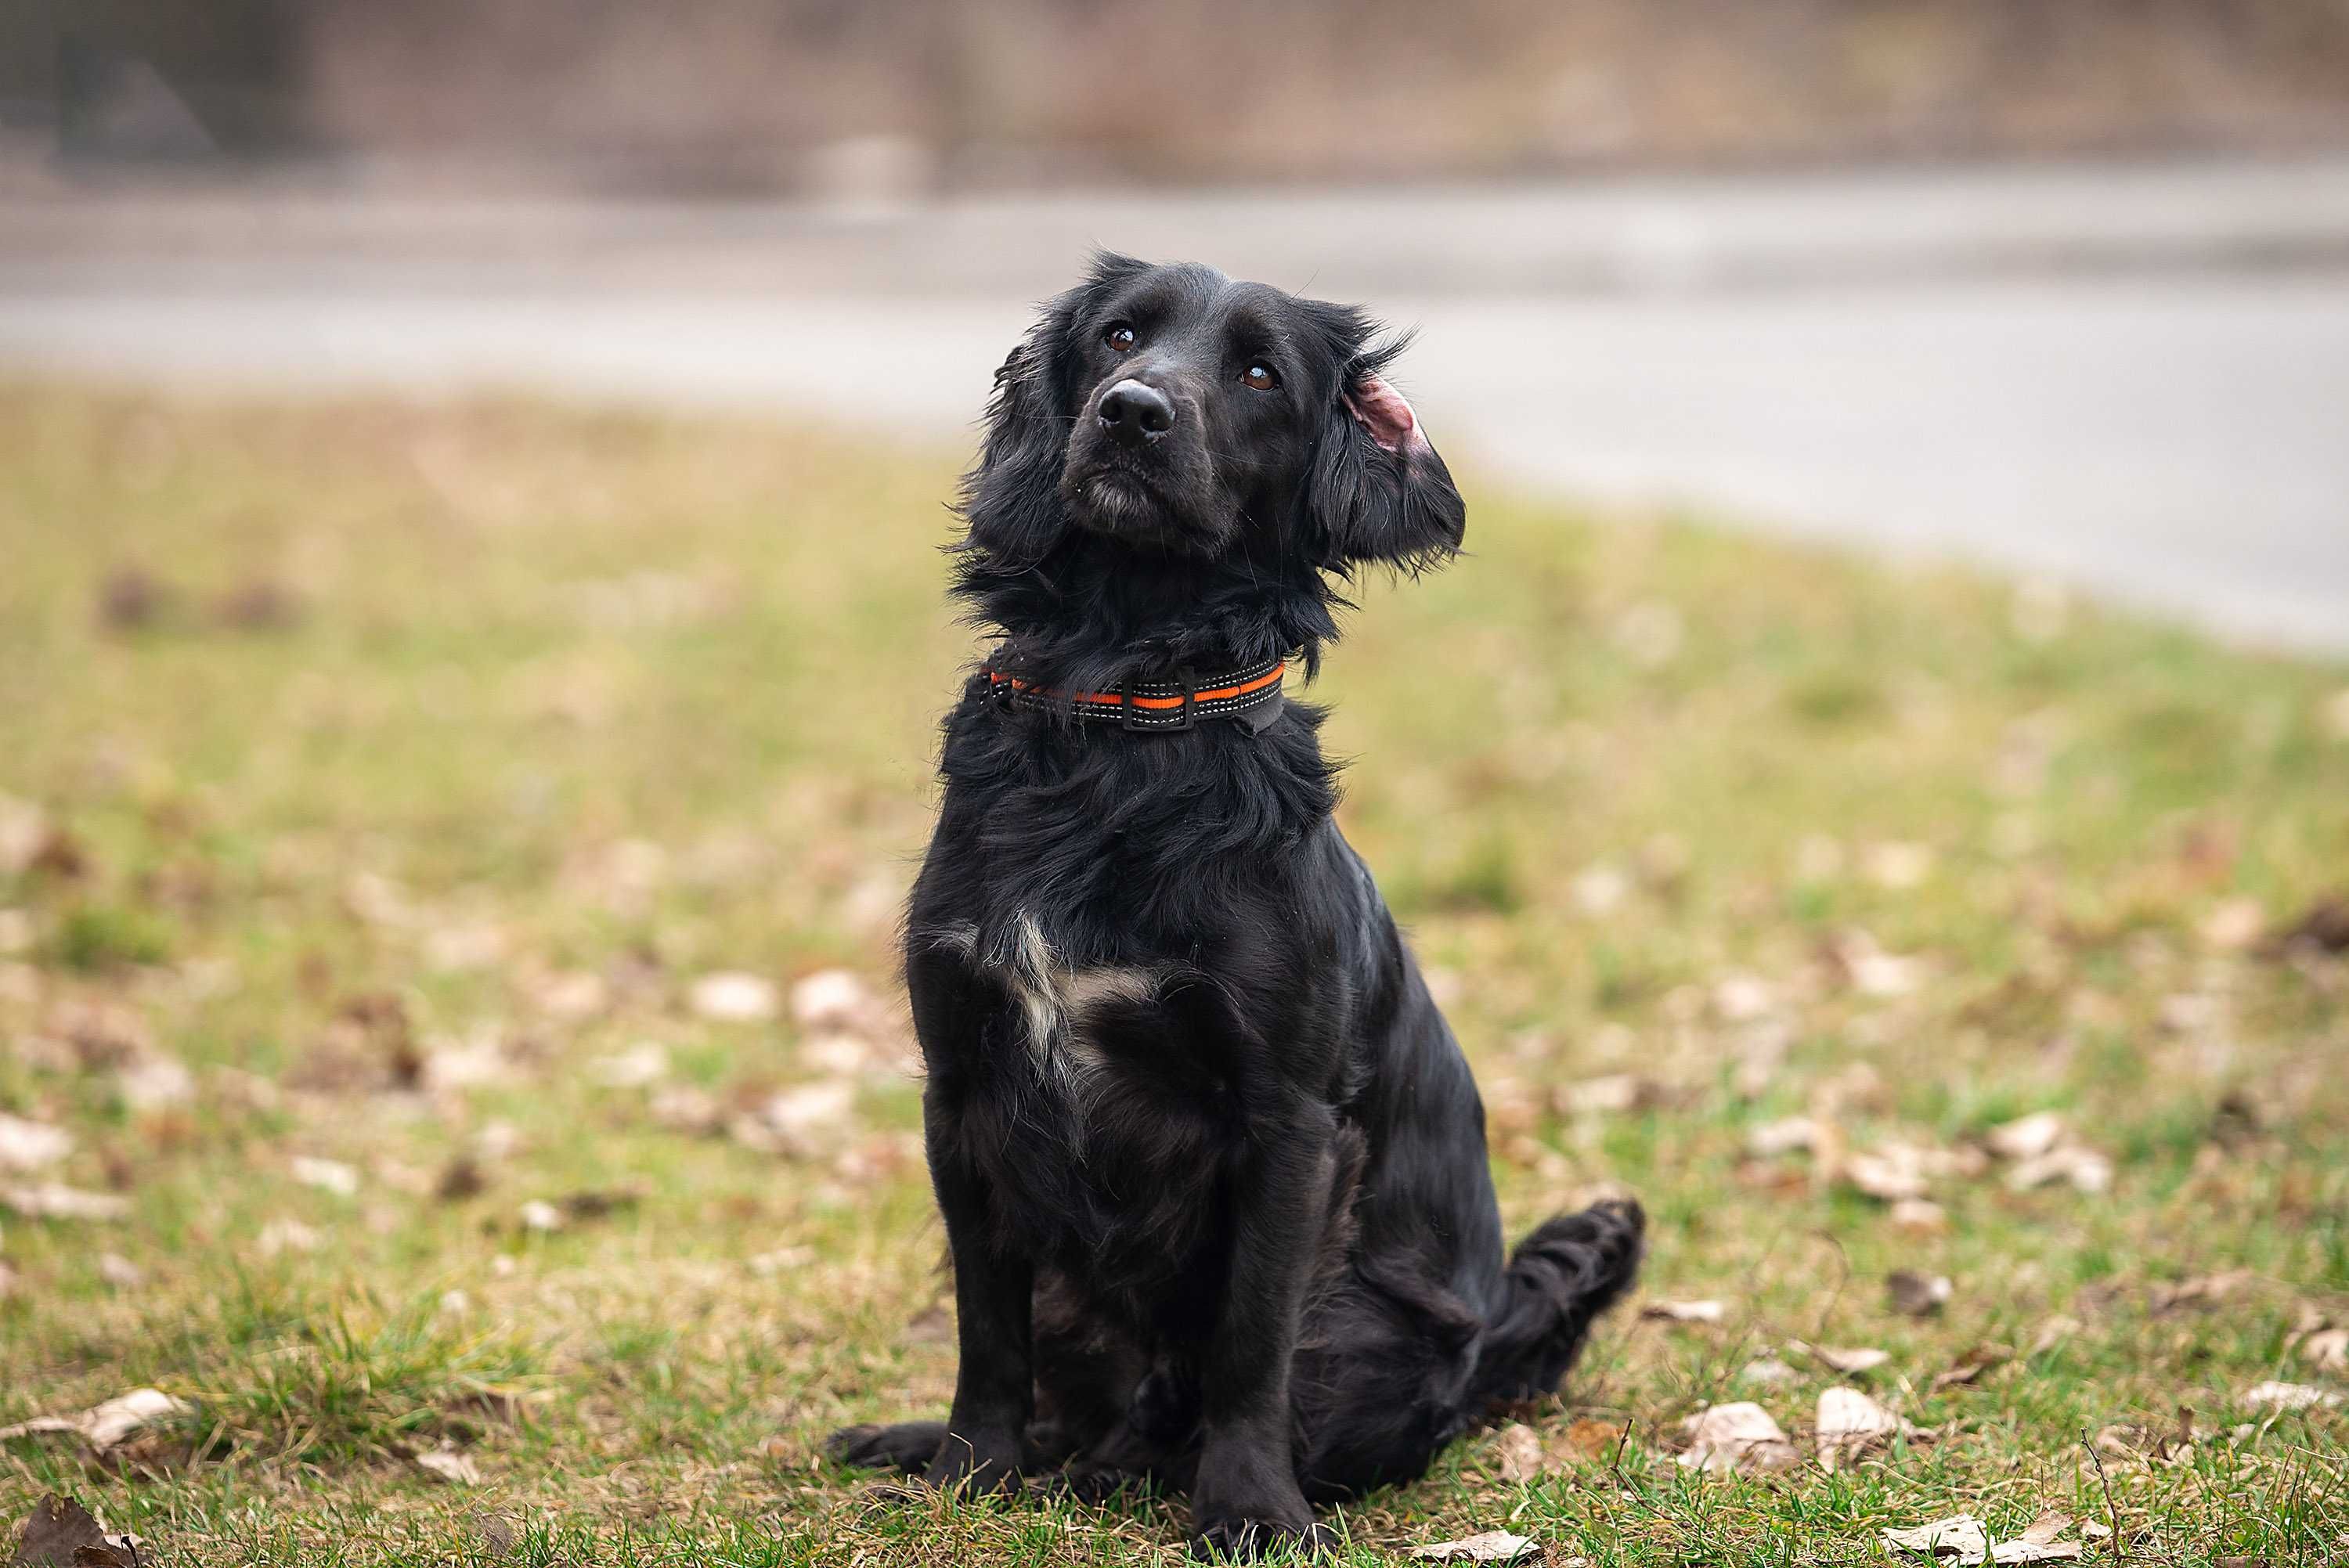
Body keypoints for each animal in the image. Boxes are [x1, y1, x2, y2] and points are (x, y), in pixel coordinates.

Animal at [836, 257, 1644, 1559]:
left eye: (1262, 372)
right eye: (1122, 336)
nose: (1131, 413)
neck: (1119, 717)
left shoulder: (1287, 1123)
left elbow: (1248, 1343)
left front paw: (1253, 1509)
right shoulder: (961, 1090)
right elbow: (985, 1326)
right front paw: (970, 1468)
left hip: (1375, 1323)